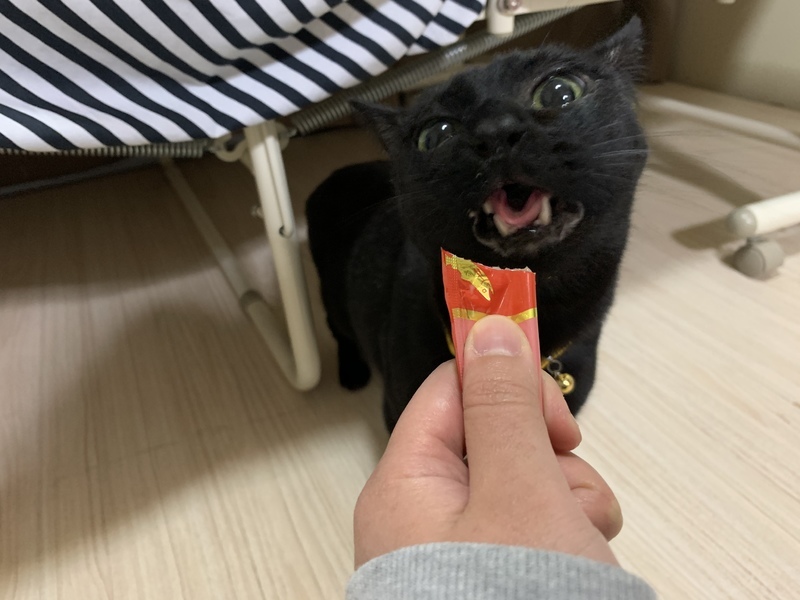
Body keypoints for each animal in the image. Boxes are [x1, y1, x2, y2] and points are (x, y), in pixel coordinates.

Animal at [306, 18, 648, 431]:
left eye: (560, 92)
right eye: (435, 134)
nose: (495, 129)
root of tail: (334, 174)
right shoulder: (397, 408)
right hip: (334, 298)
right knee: (340, 331)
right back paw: (353, 372)